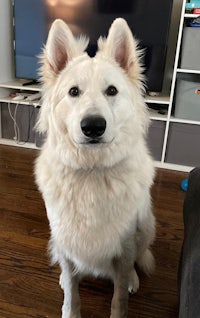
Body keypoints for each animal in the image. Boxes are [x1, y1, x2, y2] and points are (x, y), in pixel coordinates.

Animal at [35, 18, 155, 318]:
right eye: (73, 92)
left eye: (111, 90)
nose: (92, 126)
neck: (92, 171)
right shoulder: (65, 241)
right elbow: (73, 292)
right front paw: (70, 309)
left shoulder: (124, 245)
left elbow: (118, 296)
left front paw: (122, 297)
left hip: (147, 226)